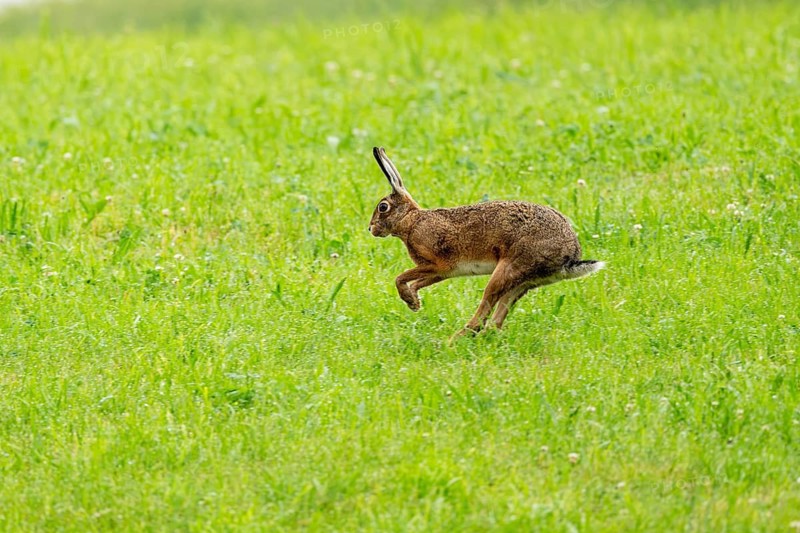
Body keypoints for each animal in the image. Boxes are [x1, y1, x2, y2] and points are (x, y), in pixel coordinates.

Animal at [368, 147, 604, 340]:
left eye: (383, 207)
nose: (370, 229)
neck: (411, 221)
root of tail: (570, 256)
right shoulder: (441, 272)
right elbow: (417, 282)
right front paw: (415, 302)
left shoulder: (437, 264)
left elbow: (400, 278)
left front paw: (410, 300)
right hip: (522, 282)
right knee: (496, 320)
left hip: (508, 270)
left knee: (483, 315)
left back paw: (451, 341)